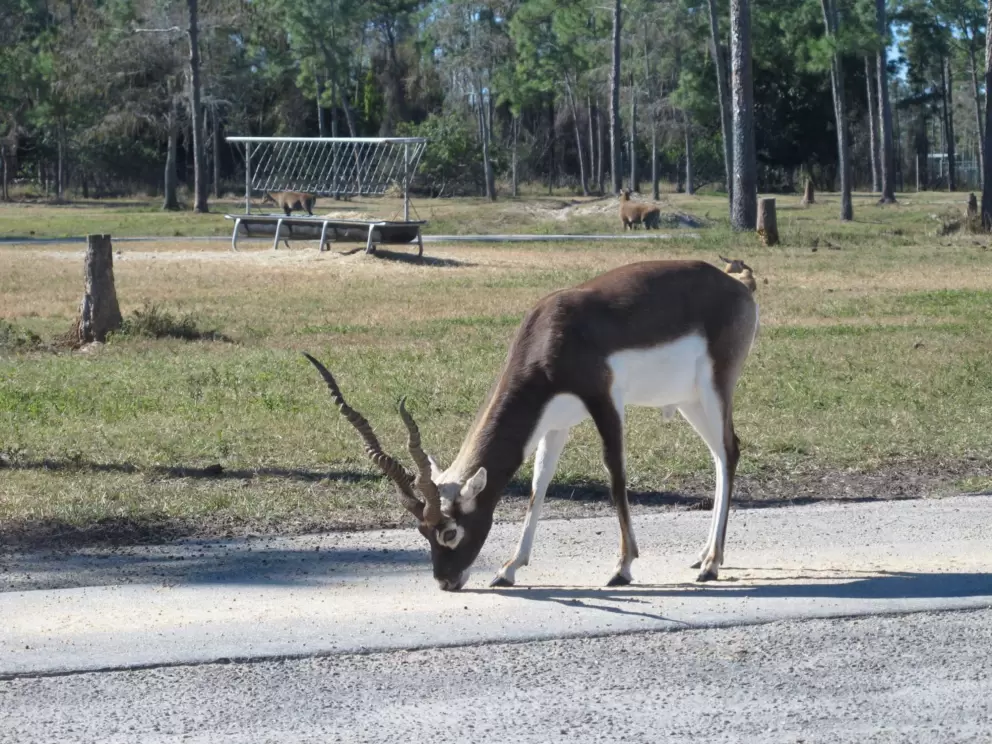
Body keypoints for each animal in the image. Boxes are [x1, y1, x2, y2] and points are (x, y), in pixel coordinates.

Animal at [305, 260, 759, 591]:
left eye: (449, 532)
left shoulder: (606, 403)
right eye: (421, 531)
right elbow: (538, 486)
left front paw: (623, 567)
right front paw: (508, 569)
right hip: (688, 401)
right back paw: (704, 557)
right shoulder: (554, 424)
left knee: (729, 451)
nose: (446, 582)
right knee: (721, 456)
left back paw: (712, 565)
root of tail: (737, 284)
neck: (552, 335)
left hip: (714, 389)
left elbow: (615, 477)